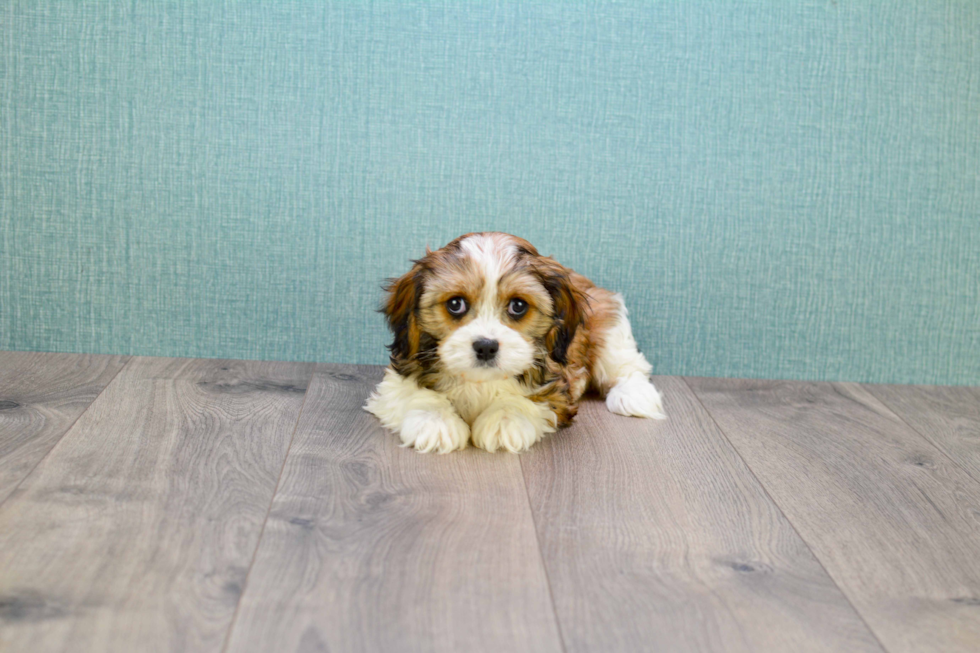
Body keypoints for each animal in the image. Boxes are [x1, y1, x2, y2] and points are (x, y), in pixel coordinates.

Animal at [364, 233, 664, 454]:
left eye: (518, 306)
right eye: (455, 304)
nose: (486, 346)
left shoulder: (556, 388)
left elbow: (526, 400)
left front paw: (503, 421)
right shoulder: (398, 374)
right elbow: (414, 393)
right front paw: (435, 422)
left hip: (609, 325)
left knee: (628, 366)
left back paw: (633, 395)